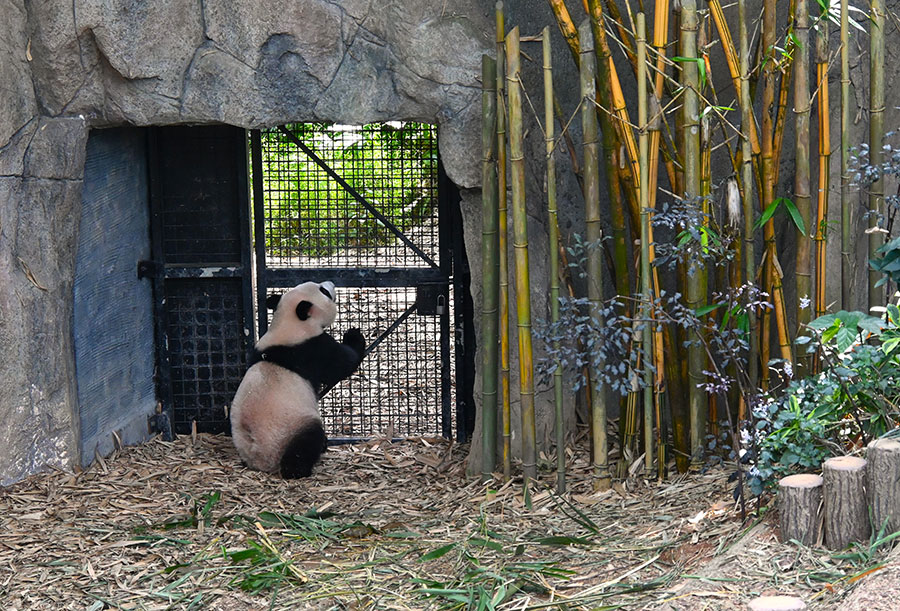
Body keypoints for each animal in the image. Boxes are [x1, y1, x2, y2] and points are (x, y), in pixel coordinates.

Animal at [229, 280, 366, 478]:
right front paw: (354, 335)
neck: (289, 324)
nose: (331, 283)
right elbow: (343, 364)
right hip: (291, 429)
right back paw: (301, 468)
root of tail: (261, 461)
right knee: (306, 442)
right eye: (323, 291)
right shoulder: (311, 349)